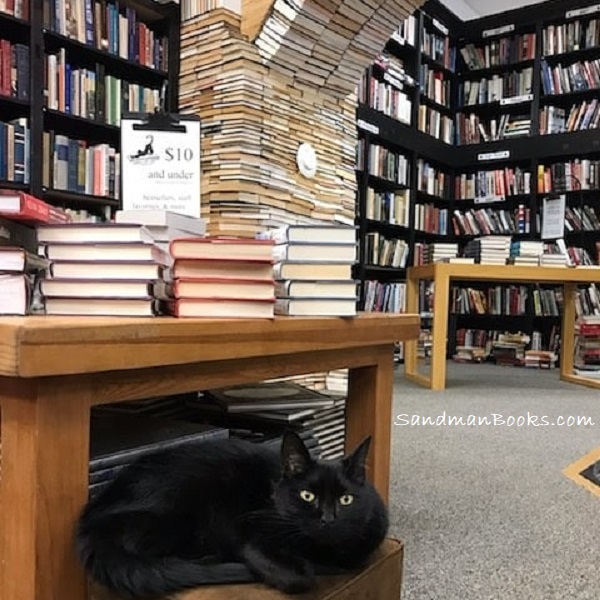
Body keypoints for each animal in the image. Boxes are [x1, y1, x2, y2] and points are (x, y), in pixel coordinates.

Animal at [76, 428, 390, 596]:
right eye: (307, 496)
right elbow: (300, 576)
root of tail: (89, 521)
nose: (327, 519)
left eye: (346, 499)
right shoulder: (249, 534)